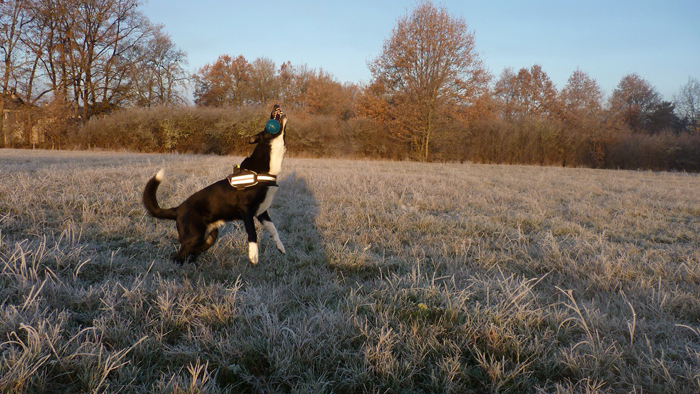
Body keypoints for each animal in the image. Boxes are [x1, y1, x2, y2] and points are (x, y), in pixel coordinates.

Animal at [144, 104, 286, 264]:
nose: (276, 105)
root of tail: (178, 209)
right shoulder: (246, 209)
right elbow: (252, 233)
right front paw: (253, 255)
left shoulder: (261, 211)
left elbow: (273, 229)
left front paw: (280, 246)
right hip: (194, 237)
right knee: (179, 255)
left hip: (209, 238)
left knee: (192, 253)